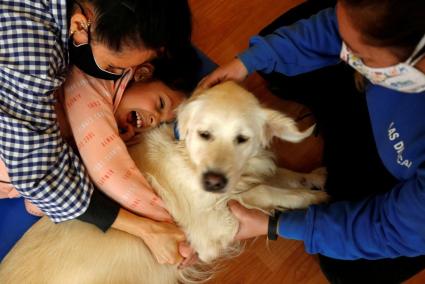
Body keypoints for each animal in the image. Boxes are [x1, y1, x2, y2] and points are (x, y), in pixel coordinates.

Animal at [0, 81, 328, 282]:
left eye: (242, 138)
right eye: (204, 133)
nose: (213, 181)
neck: (188, 156)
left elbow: (281, 174)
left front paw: (315, 179)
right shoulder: (207, 231)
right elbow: (263, 190)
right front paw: (312, 200)